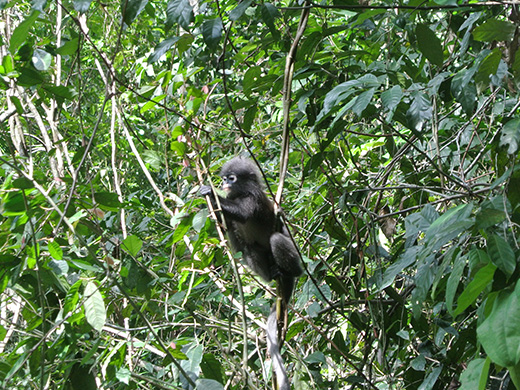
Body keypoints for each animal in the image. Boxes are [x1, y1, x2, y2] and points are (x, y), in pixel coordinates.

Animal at [200, 156, 304, 390]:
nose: (224, 184)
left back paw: (290, 271)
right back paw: (272, 274)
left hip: (294, 259)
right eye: (224, 178)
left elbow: (243, 214)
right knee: (246, 247)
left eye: (232, 178)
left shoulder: (254, 199)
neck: (239, 193)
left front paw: (209, 192)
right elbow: (228, 226)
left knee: (277, 239)